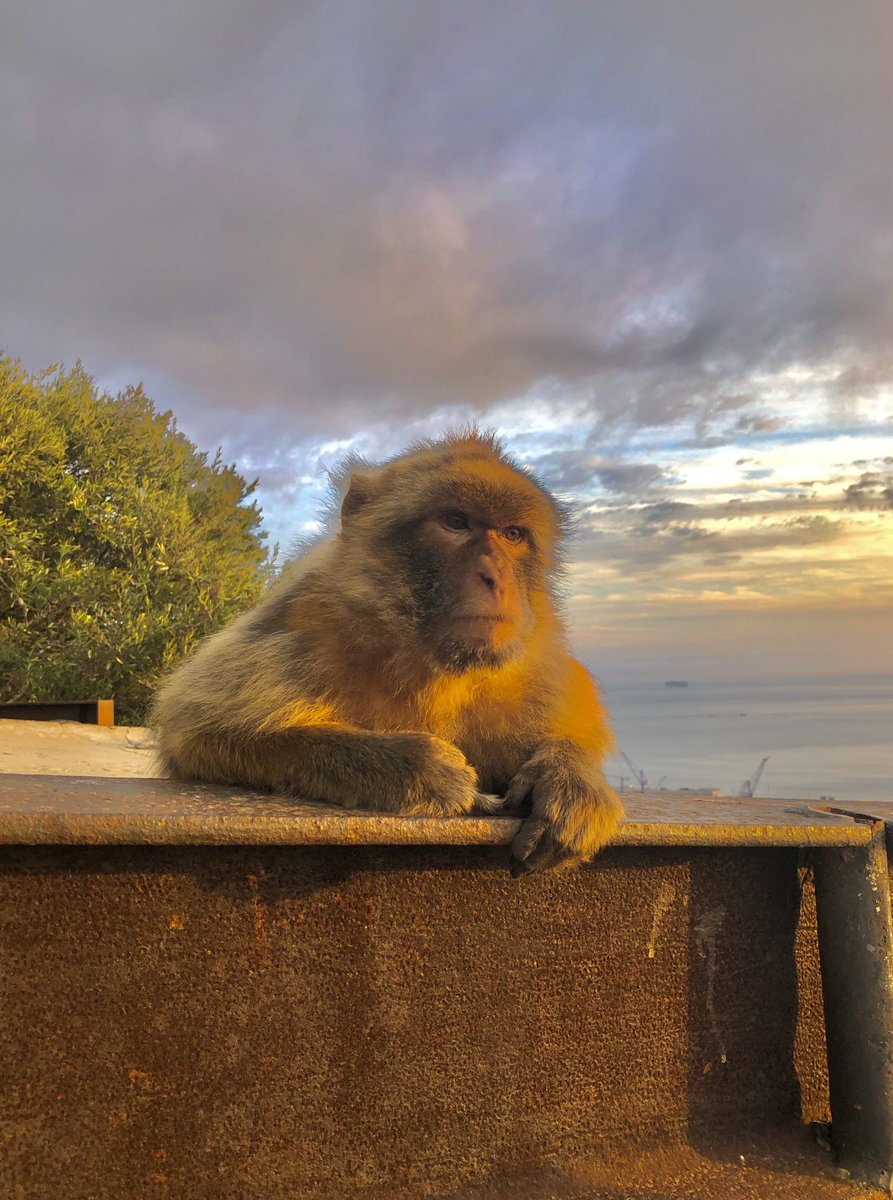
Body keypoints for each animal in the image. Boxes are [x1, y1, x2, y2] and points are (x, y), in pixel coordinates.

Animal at [151, 432, 619, 873]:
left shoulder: (525, 667)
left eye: (512, 534)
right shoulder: (300, 626)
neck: (433, 662)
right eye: (455, 522)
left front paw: (568, 778)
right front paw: (417, 768)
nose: (495, 575)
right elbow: (196, 727)